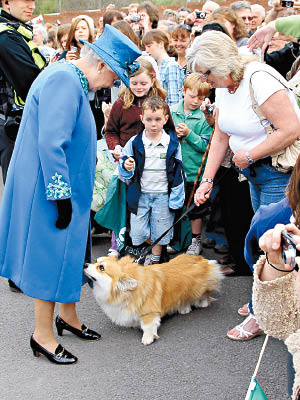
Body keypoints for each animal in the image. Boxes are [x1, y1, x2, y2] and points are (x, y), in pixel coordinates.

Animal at [84, 256, 223, 344]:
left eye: (101, 268)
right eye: (96, 261)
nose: (85, 264)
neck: (125, 293)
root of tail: (201, 258)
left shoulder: (149, 312)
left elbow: (148, 326)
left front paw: (148, 339)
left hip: (199, 287)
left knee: (205, 292)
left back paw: (203, 303)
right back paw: (184, 308)